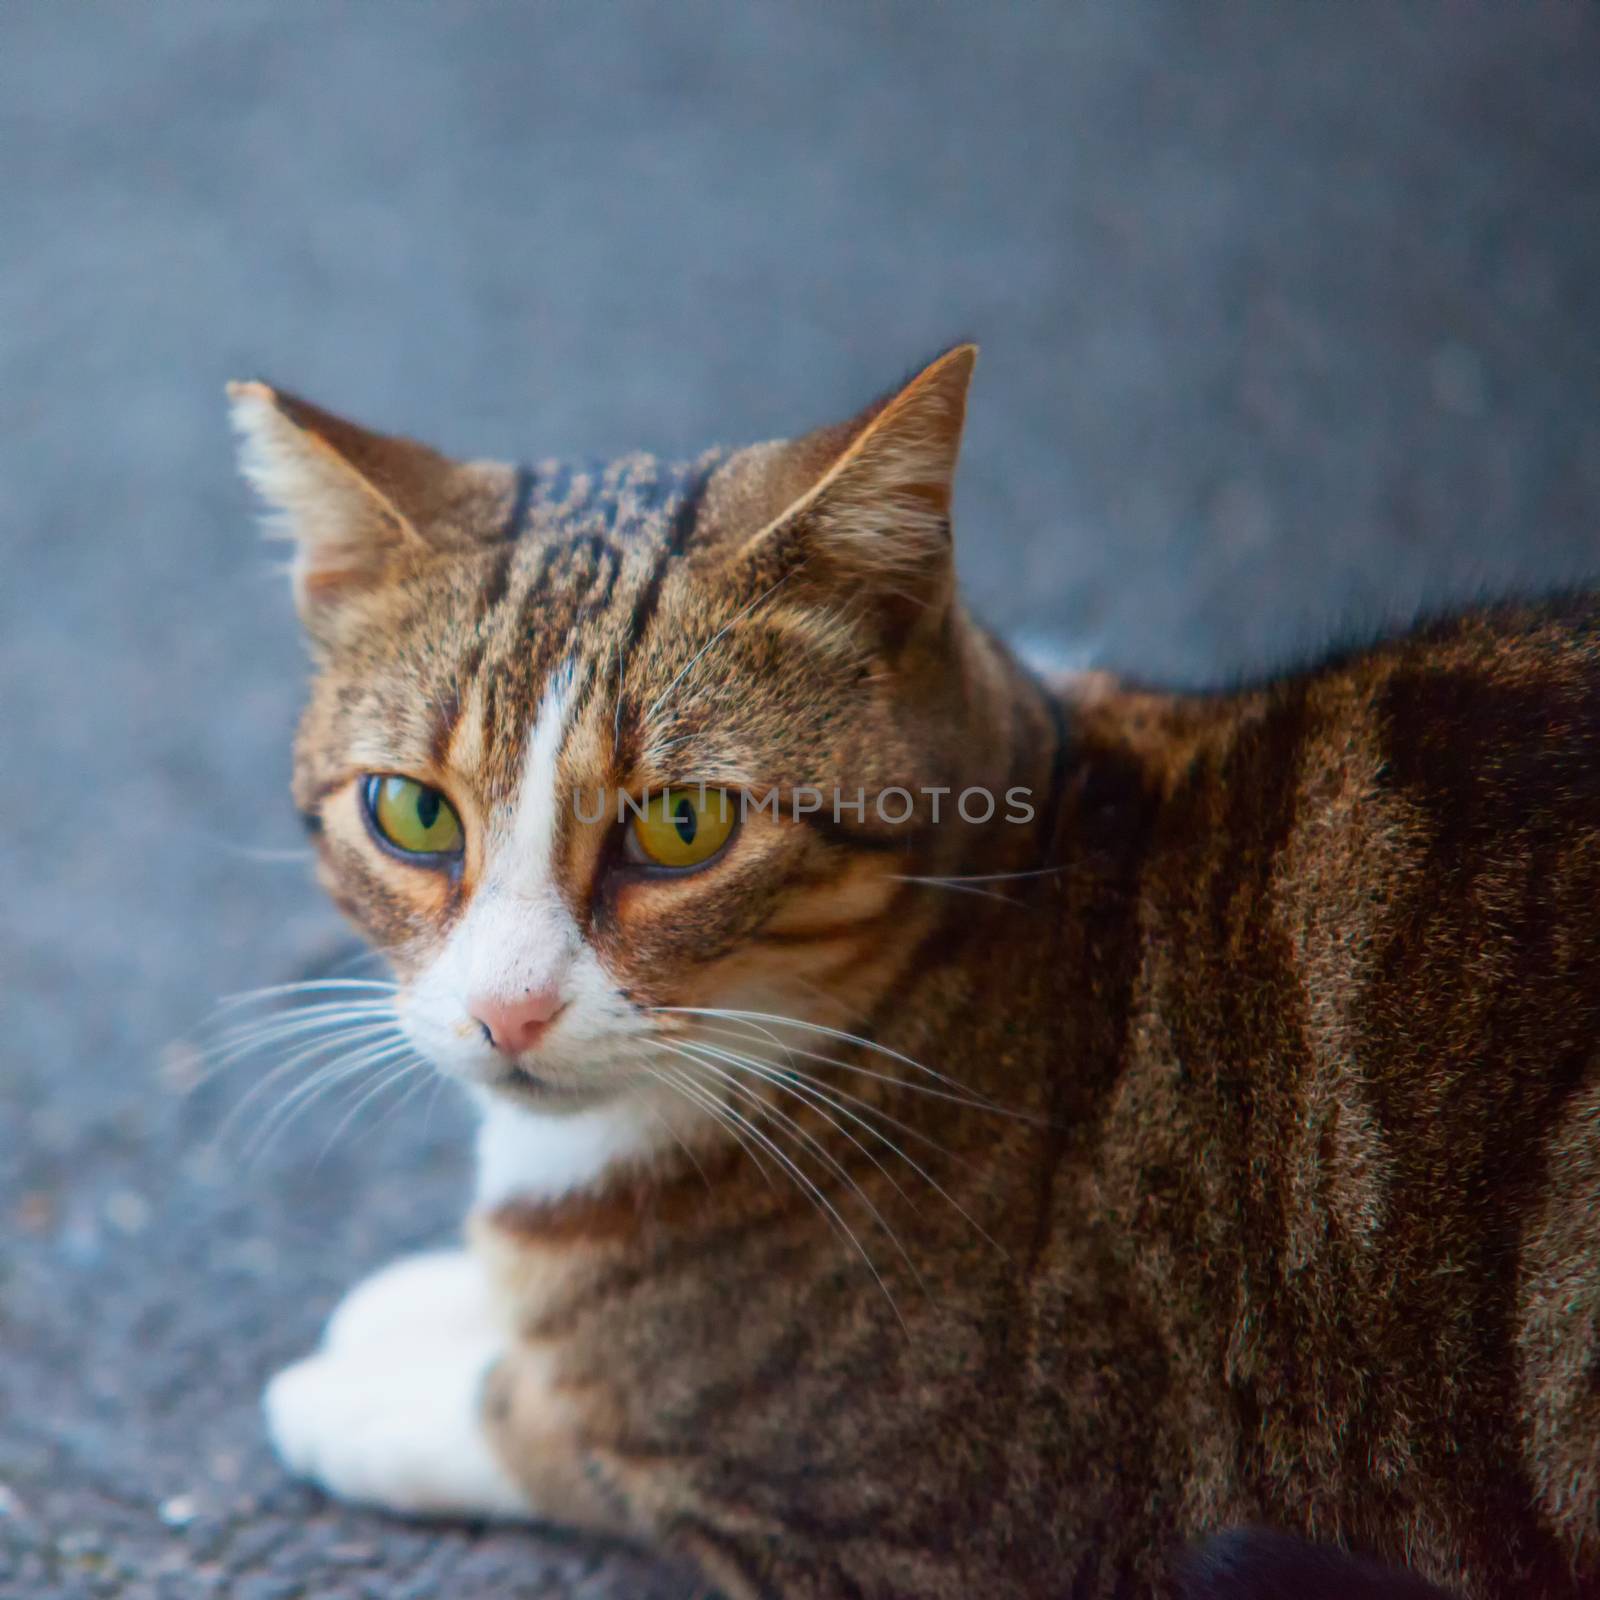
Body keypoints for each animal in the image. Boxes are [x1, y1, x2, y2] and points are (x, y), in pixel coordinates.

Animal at [228, 353, 1600, 1600]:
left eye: (681, 825)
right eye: (411, 811)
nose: (507, 1010)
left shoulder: (951, 1515)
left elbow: (560, 1423)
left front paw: (370, 1390)